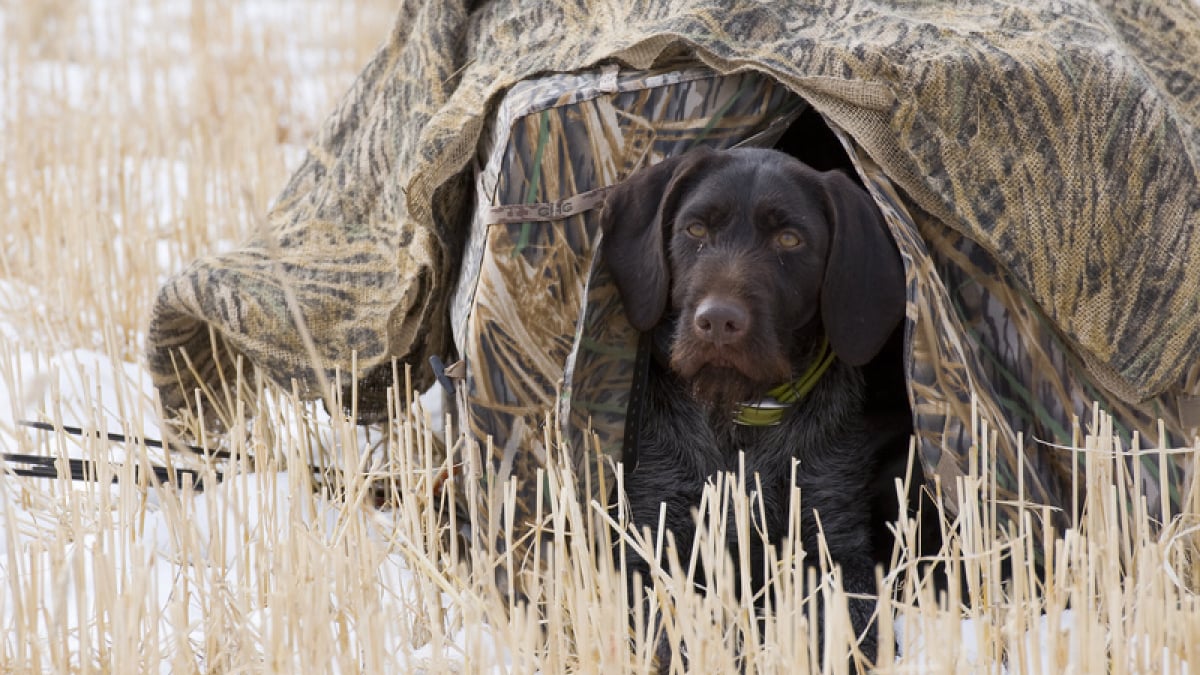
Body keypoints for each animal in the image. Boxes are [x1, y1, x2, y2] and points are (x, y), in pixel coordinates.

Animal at [595, 144, 902, 662]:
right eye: (696, 230)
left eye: (790, 239)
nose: (718, 321)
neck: (735, 421)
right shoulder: (650, 542)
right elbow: (668, 625)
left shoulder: (835, 547)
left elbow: (847, 621)